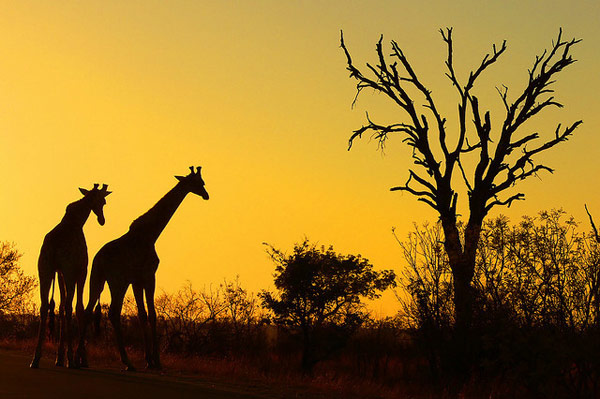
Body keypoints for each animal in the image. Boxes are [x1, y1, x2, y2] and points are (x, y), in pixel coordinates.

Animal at [30, 184, 111, 368]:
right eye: (103, 201)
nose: (102, 220)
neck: (77, 221)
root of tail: (53, 246)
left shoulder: (59, 273)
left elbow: (59, 307)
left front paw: (59, 358)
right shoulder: (80, 271)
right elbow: (79, 308)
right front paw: (80, 358)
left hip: (44, 270)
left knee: (45, 306)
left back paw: (36, 358)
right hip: (68, 272)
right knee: (68, 306)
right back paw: (71, 359)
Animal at [75, 166, 209, 372]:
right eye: (198, 182)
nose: (206, 195)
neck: (150, 234)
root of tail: (99, 259)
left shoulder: (136, 281)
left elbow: (142, 314)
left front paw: (149, 360)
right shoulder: (148, 276)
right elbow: (152, 314)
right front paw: (157, 362)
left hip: (97, 280)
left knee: (89, 311)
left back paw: (80, 359)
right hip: (117, 282)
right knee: (113, 312)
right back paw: (127, 362)